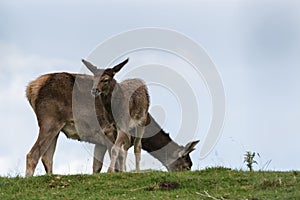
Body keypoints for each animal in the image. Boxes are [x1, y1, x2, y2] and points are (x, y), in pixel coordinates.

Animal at [25, 59, 199, 177]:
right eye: (186, 165)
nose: (187, 172)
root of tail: (32, 88)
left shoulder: (100, 141)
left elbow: (96, 168)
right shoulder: (110, 132)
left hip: (57, 127)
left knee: (47, 158)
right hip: (49, 120)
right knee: (32, 155)